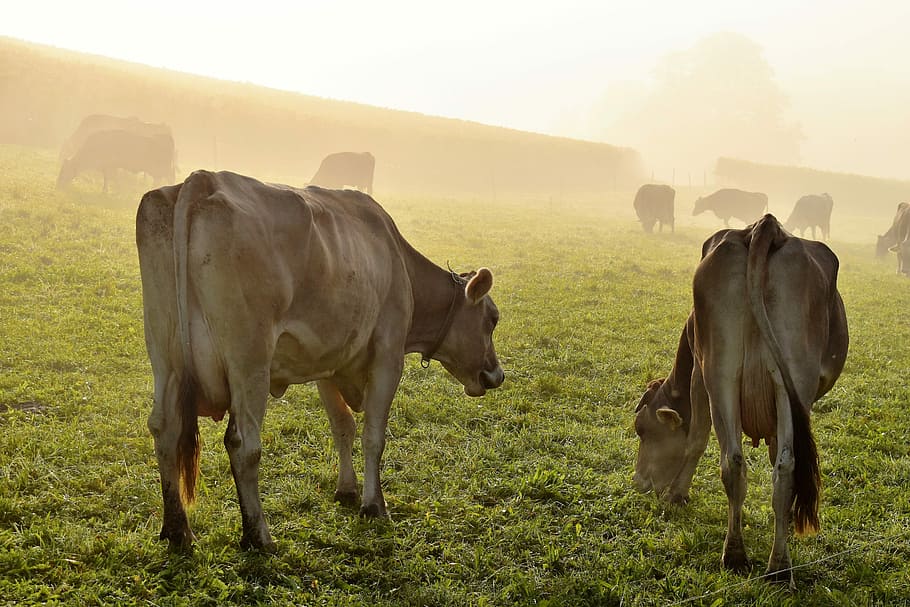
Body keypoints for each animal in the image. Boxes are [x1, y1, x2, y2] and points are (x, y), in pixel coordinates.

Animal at [136, 170, 504, 551]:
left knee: (164, 429)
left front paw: (347, 489)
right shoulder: (388, 358)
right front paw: (374, 505)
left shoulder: (329, 360)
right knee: (243, 444)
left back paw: (177, 529)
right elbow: (373, 435)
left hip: (165, 356)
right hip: (249, 361)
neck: (396, 260)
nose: (496, 375)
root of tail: (204, 179)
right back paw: (258, 535)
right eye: (492, 318)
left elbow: (343, 426)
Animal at [633, 214, 848, 587]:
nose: (638, 482)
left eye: (642, 430)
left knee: (741, 462)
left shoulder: (698, 374)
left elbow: (696, 440)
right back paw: (770, 564)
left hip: (721, 372)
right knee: (772, 466)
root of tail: (765, 227)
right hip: (764, 378)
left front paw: (676, 494)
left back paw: (750, 559)